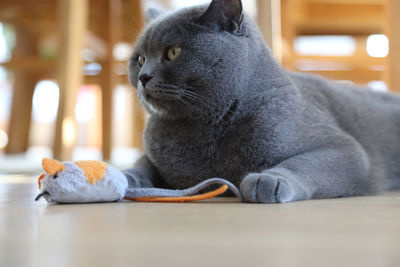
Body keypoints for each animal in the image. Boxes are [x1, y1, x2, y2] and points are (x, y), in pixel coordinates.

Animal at [123, 0, 398, 203]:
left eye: (173, 52)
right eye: (139, 59)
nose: (143, 77)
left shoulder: (345, 149)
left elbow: (304, 162)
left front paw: (270, 180)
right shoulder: (156, 158)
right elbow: (142, 164)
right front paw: (126, 176)